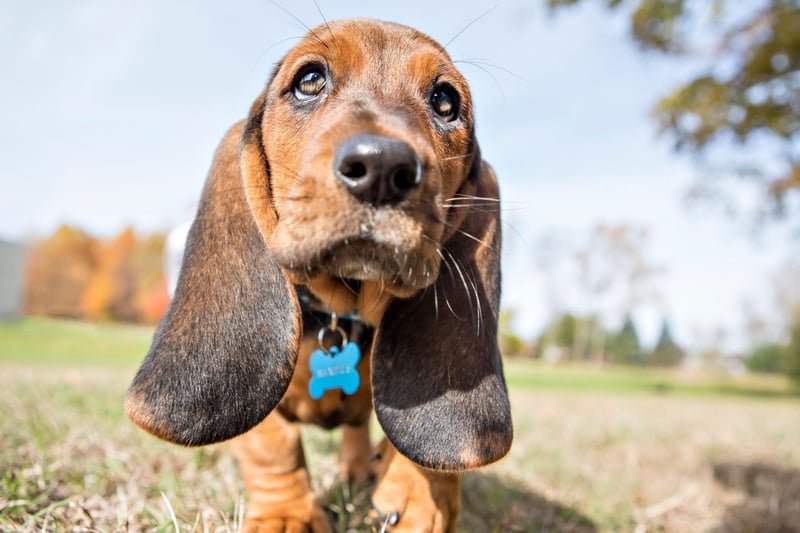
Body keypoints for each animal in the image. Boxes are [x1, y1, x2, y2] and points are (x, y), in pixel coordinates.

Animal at [126, 17, 512, 532]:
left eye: (445, 101)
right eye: (309, 79)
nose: (382, 167)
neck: (340, 313)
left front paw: (417, 492)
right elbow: (273, 444)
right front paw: (287, 515)